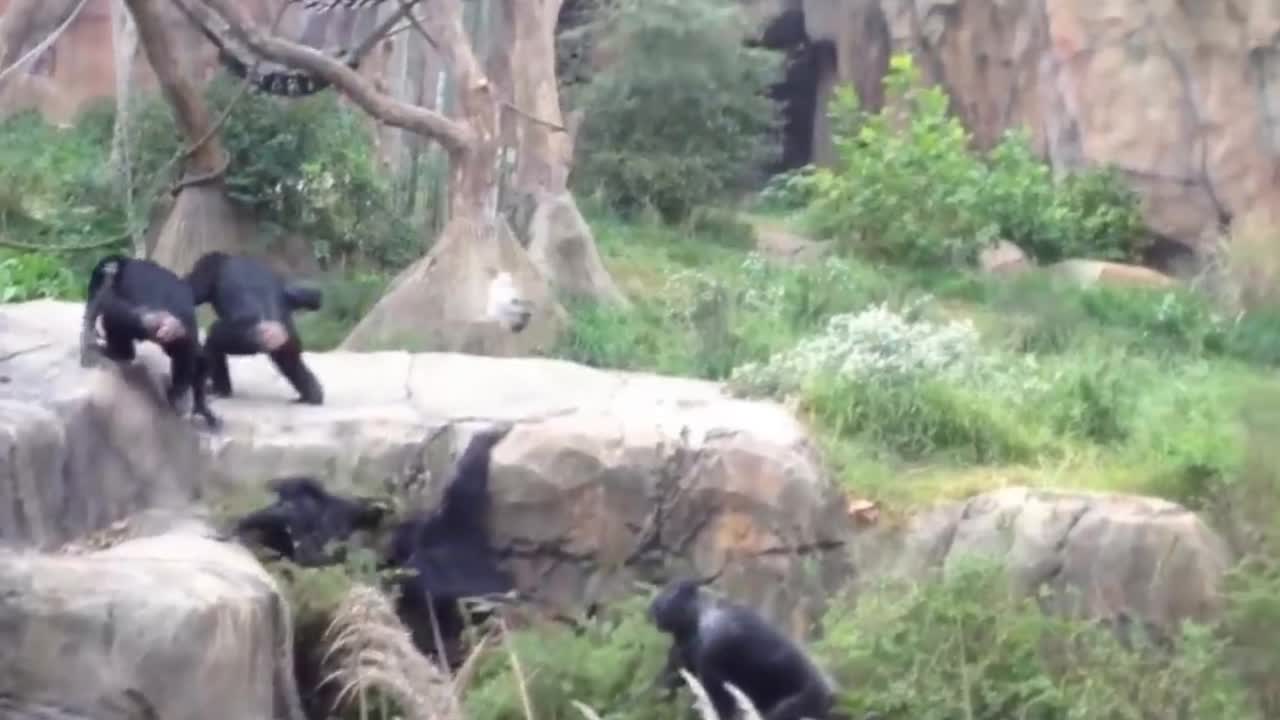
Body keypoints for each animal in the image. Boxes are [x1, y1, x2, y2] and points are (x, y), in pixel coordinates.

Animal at [81, 254, 220, 427]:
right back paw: (187, 398)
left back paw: (118, 352)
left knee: (114, 315)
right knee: (197, 356)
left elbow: (107, 303)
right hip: (176, 338)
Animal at [184, 251, 325, 409]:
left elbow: (193, 290)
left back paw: (219, 390)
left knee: (214, 342)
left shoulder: (207, 268)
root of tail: (275, 332)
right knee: (292, 365)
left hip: (243, 336)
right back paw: (311, 397)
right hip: (288, 340)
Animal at [650, 573, 839, 717]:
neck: (698, 616)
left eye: (671, 592)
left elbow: (723, 706)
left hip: (807, 699)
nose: (652, 607)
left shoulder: (713, 649)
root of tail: (830, 692)